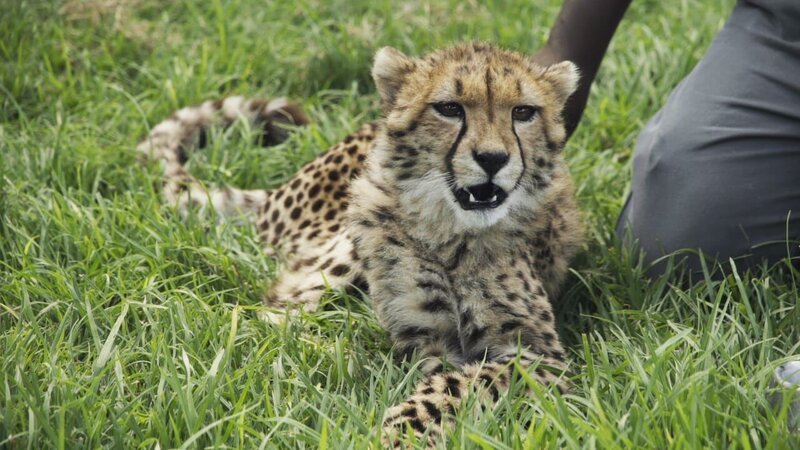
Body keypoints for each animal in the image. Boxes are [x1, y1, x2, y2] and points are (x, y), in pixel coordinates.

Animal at [137, 42, 583, 448]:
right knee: (270, 315)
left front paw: (405, 427)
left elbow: (464, 382)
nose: (492, 158)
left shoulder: (540, 356)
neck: (452, 236)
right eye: (450, 108)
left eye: (522, 112)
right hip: (361, 213)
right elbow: (448, 379)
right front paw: (398, 425)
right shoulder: (424, 338)